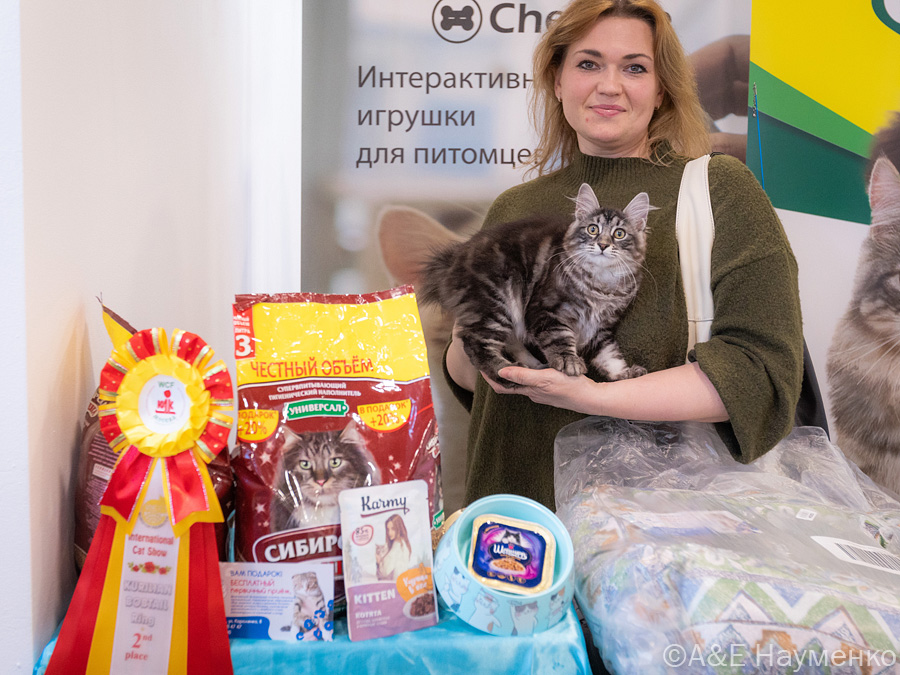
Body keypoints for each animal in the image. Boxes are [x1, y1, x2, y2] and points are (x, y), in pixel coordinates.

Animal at [419, 183, 652, 387]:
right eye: (593, 229)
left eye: (619, 233)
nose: (603, 245)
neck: (602, 284)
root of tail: (454, 258)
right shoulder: (545, 310)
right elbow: (560, 338)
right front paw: (569, 361)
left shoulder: (601, 327)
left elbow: (609, 354)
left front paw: (624, 373)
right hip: (496, 303)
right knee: (476, 344)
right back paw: (505, 373)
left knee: (510, 341)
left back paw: (534, 366)